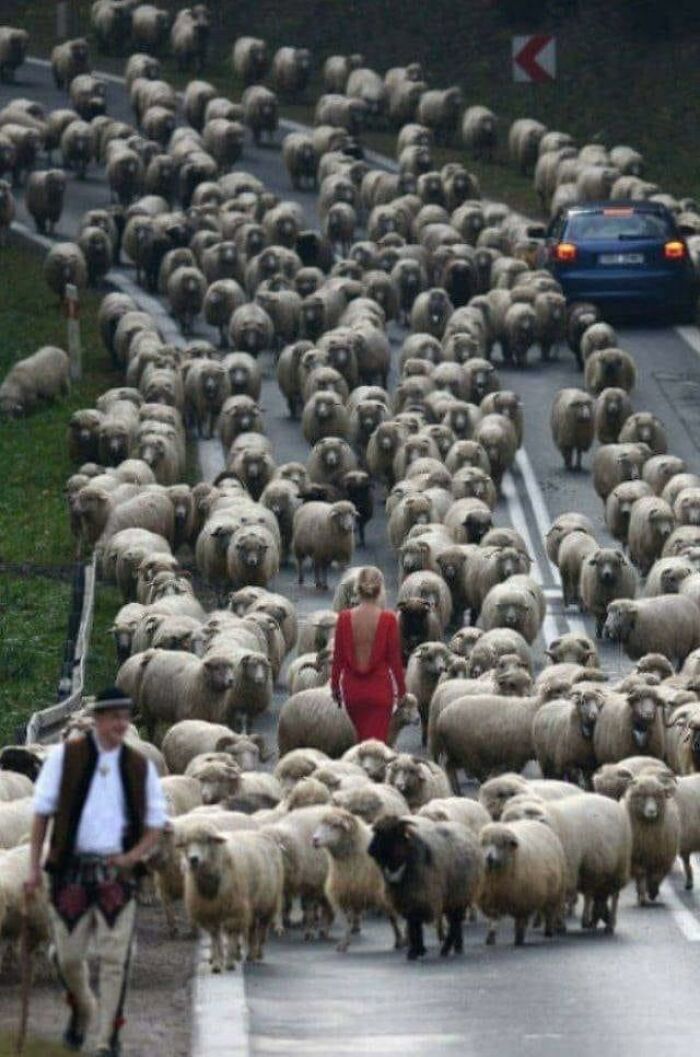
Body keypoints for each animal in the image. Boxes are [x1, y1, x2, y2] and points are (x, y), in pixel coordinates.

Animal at [179, 822, 283, 969]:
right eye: (186, 843)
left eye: (207, 840)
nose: (193, 859)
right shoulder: (209, 911)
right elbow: (215, 936)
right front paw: (217, 963)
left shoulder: (234, 909)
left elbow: (231, 934)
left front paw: (228, 962)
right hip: (251, 905)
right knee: (252, 929)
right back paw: (250, 955)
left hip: (268, 902)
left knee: (262, 929)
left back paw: (258, 954)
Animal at [311, 808, 402, 952]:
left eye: (335, 825)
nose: (314, 839)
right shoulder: (346, 891)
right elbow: (347, 920)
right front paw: (344, 943)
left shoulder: (384, 893)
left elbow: (393, 917)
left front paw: (401, 940)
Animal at [368, 816, 484, 959]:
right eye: (376, 831)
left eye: (391, 832)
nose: (370, 850)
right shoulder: (407, 899)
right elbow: (413, 925)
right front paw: (416, 950)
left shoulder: (421, 896)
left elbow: (415, 924)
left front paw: (415, 951)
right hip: (452, 898)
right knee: (455, 923)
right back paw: (457, 947)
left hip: (460, 895)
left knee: (455, 923)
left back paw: (446, 949)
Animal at [624, 774, 681, 905]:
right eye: (642, 796)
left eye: (657, 796)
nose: (651, 811)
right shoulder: (636, 858)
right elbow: (641, 875)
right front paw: (642, 896)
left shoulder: (662, 858)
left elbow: (656, 877)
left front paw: (653, 892)